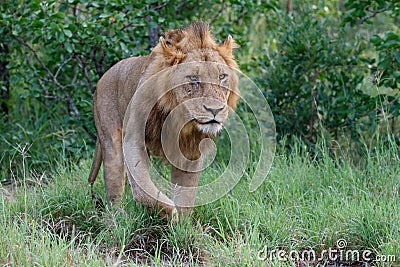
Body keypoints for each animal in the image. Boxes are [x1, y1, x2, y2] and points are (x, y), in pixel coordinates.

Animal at [88, 21, 238, 220]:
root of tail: (101, 79)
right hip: (111, 139)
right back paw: (117, 217)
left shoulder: (191, 152)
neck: (178, 118)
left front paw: (182, 224)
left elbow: (186, 194)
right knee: (114, 188)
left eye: (222, 77)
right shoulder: (132, 140)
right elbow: (143, 190)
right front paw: (168, 210)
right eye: (193, 78)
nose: (215, 110)